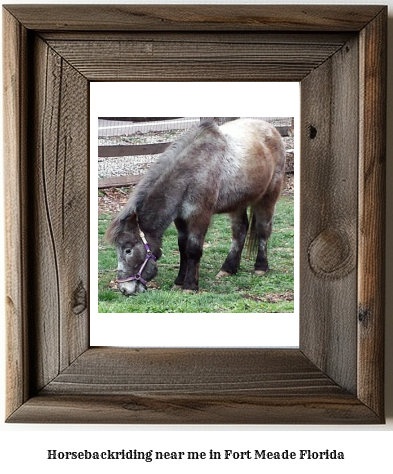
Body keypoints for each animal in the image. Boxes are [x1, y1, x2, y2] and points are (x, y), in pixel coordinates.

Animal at [105, 118, 284, 294]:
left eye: (128, 250)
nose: (124, 289)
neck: (191, 172)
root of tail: (272, 129)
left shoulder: (200, 216)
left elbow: (193, 249)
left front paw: (190, 286)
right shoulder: (180, 219)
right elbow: (182, 248)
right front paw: (179, 281)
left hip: (268, 197)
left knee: (263, 229)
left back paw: (261, 267)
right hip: (238, 203)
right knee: (239, 231)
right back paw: (228, 268)